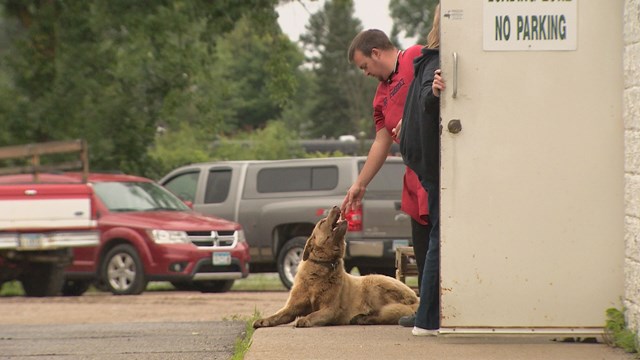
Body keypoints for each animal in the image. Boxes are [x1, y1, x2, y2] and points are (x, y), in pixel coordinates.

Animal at [252, 205, 418, 330]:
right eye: (322, 222)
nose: (336, 206)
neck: (323, 266)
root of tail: (416, 298)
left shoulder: (330, 309)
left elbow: (313, 314)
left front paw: (305, 320)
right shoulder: (292, 307)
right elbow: (277, 315)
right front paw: (263, 320)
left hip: (374, 285)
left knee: (387, 315)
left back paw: (364, 318)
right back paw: (361, 318)